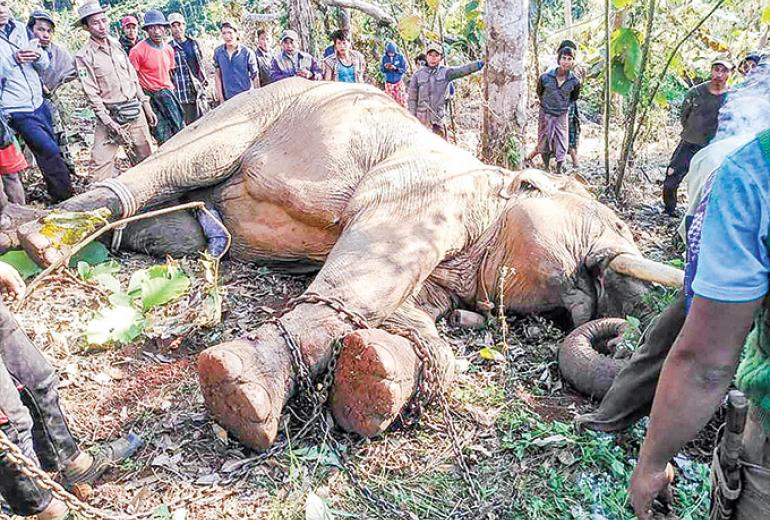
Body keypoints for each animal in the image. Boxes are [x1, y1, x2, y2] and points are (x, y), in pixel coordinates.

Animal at [4, 78, 680, 450]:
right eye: (620, 228)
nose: (623, 319)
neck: (494, 187)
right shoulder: (422, 191)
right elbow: (368, 272)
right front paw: (240, 397)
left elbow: (410, 312)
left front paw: (374, 378)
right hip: (248, 108)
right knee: (175, 164)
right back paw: (41, 243)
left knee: (164, 226)